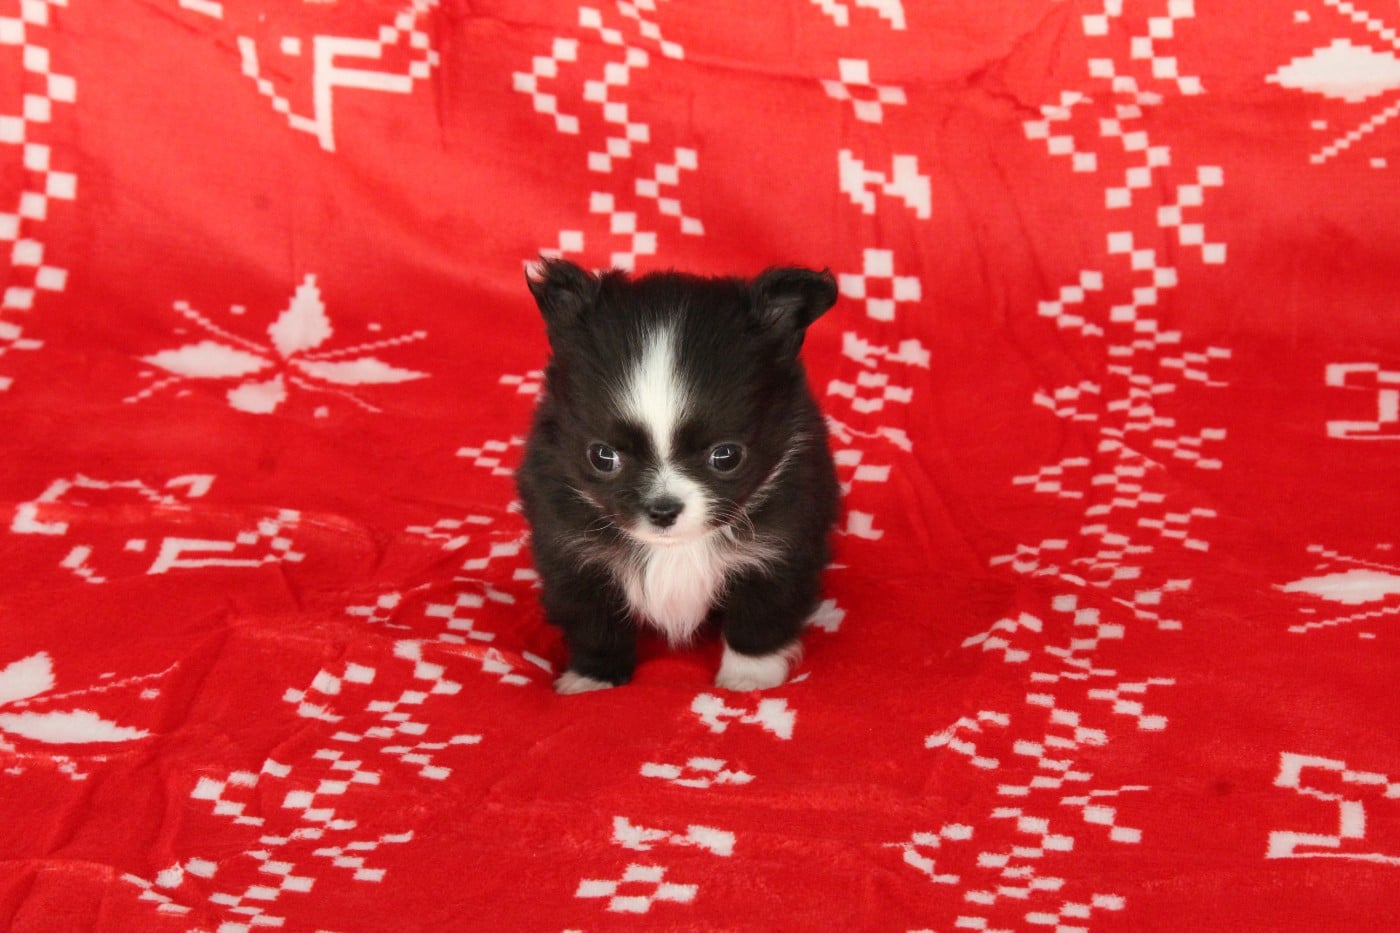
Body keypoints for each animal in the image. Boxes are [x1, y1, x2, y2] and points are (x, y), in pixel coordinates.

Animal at [516, 258, 840, 694]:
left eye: (726, 456)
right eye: (602, 456)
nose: (663, 510)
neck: (675, 548)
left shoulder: (783, 545)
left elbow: (761, 615)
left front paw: (748, 678)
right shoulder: (570, 551)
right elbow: (594, 621)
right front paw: (594, 679)